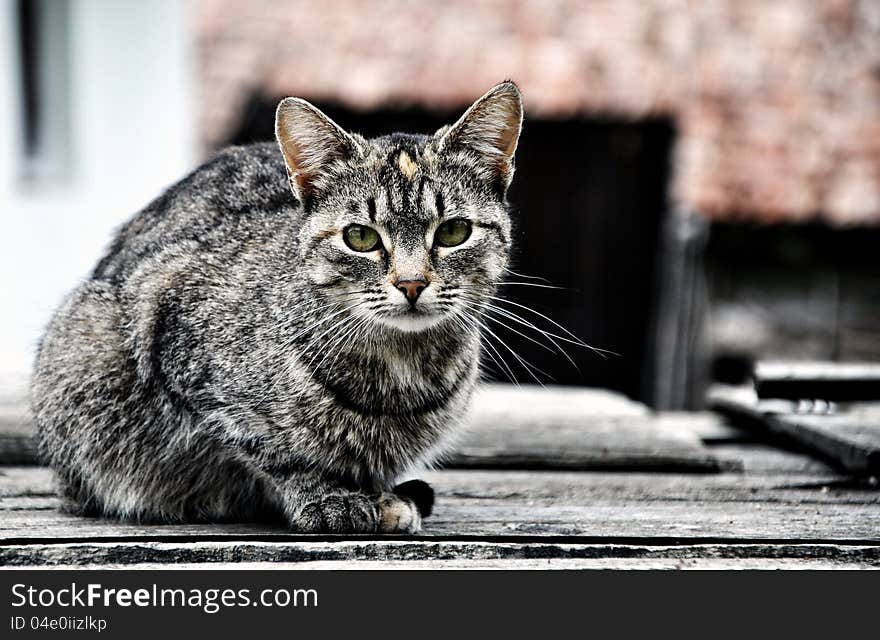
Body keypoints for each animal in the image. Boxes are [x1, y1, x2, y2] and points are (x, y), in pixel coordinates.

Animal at [29, 80, 524, 532]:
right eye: (360, 237)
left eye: (454, 231)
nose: (412, 283)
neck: (400, 366)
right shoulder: (172, 329)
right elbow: (274, 450)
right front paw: (327, 496)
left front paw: (379, 496)